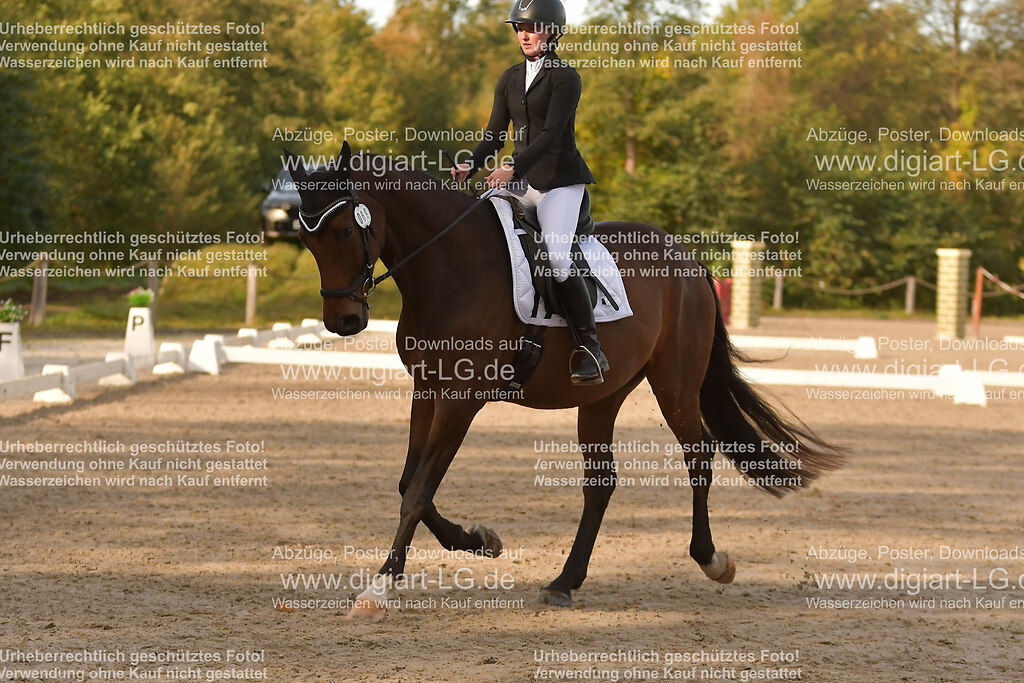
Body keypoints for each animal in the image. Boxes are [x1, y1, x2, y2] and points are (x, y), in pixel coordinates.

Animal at [287, 142, 842, 620]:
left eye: (344, 231)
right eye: (306, 238)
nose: (343, 320)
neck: (448, 266)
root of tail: (686, 256)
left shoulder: (461, 399)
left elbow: (420, 489)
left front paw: (379, 588)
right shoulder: (428, 390)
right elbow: (408, 482)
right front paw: (478, 540)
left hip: (675, 385)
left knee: (698, 456)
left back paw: (711, 559)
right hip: (602, 395)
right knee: (601, 483)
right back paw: (564, 581)